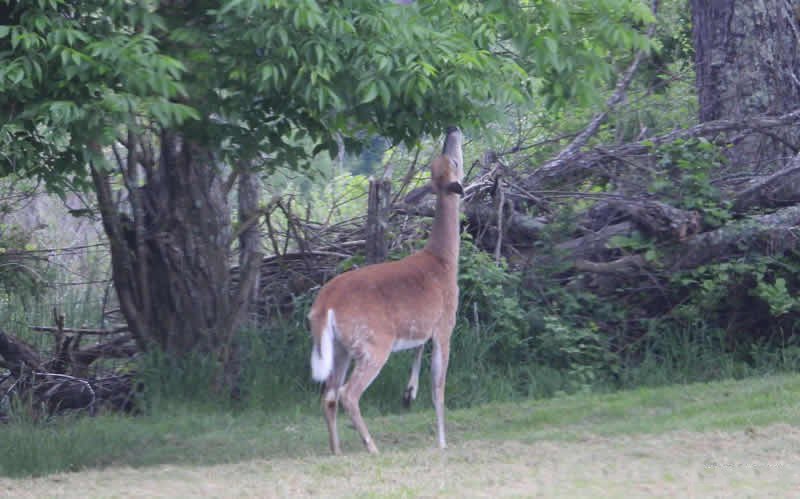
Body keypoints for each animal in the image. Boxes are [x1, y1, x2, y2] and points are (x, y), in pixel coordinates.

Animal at [310, 127, 466, 456]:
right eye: (455, 163)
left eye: (443, 160)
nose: (452, 129)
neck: (443, 260)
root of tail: (324, 304)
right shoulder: (445, 323)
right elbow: (439, 386)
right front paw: (442, 441)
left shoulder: (423, 326)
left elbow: (418, 352)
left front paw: (408, 393)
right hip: (373, 343)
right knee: (347, 393)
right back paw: (371, 446)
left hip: (341, 347)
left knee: (328, 394)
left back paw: (337, 450)